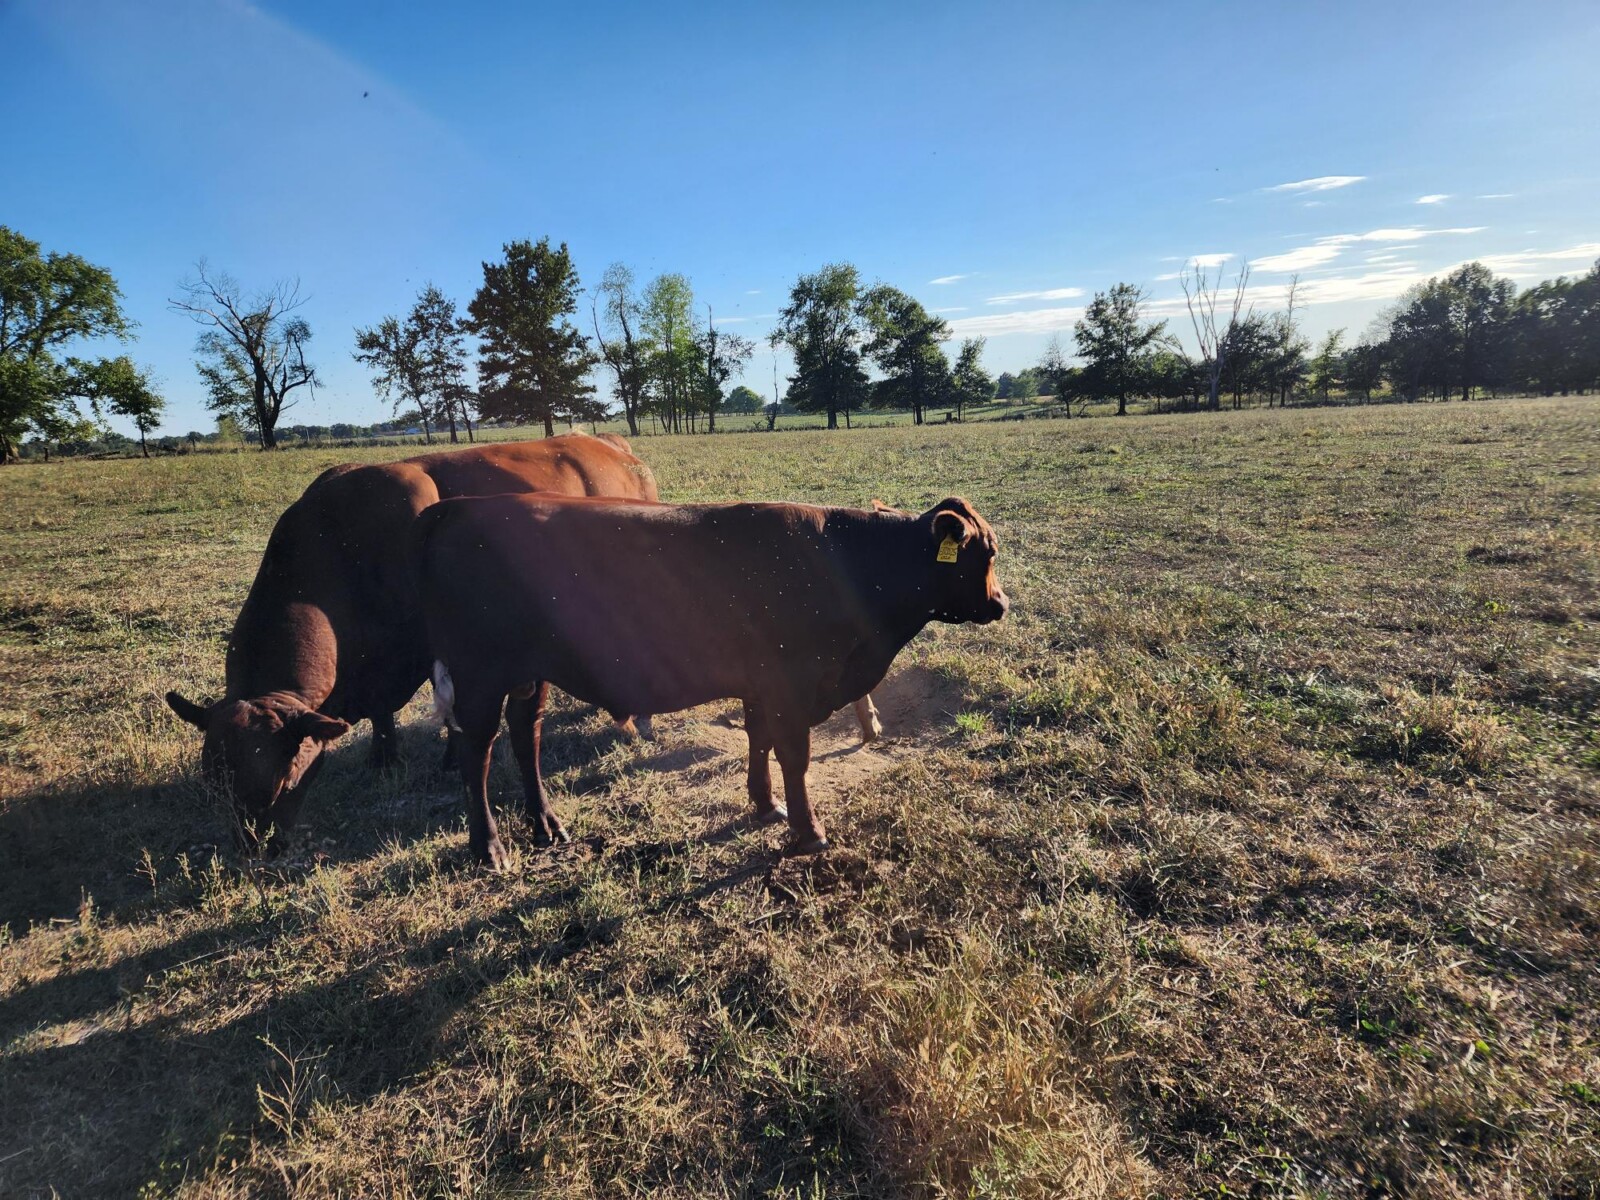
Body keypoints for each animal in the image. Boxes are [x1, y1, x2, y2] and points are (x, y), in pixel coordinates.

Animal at [164, 433, 659, 853]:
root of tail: (605, 442)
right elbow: (392, 718)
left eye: (283, 780)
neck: (340, 542)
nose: (255, 847)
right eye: (212, 783)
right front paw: (386, 756)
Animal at [413, 493, 1008, 867]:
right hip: (480, 677)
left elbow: (759, 742)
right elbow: (793, 755)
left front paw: (765, 804)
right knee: (477, 752)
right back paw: (489, 848)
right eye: (987, 551)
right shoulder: (790, 684)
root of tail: (453, 508)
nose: (1002, 603)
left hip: (527, 677)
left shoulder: (760, 683)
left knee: (526, 737)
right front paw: (808, 831)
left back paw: (547, 825)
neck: (846, 562)